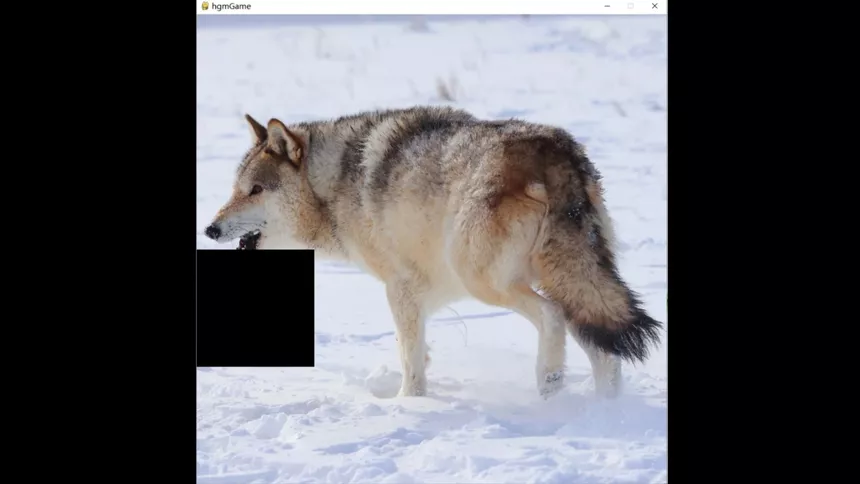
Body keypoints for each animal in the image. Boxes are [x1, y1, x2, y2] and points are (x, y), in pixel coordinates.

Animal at [203, 106, 663, 399]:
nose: (210, 229)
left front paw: (407, 407)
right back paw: (603, 411)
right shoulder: (422, 294)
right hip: (571, 285)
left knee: (552, 319)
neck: (332, 185)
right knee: (602, 349)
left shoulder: (399, 288)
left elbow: (410, 360)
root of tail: (555, 152)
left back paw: (549, 385)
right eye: (235, 189)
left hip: (484, 279)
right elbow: (418, 351)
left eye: (254, 190)